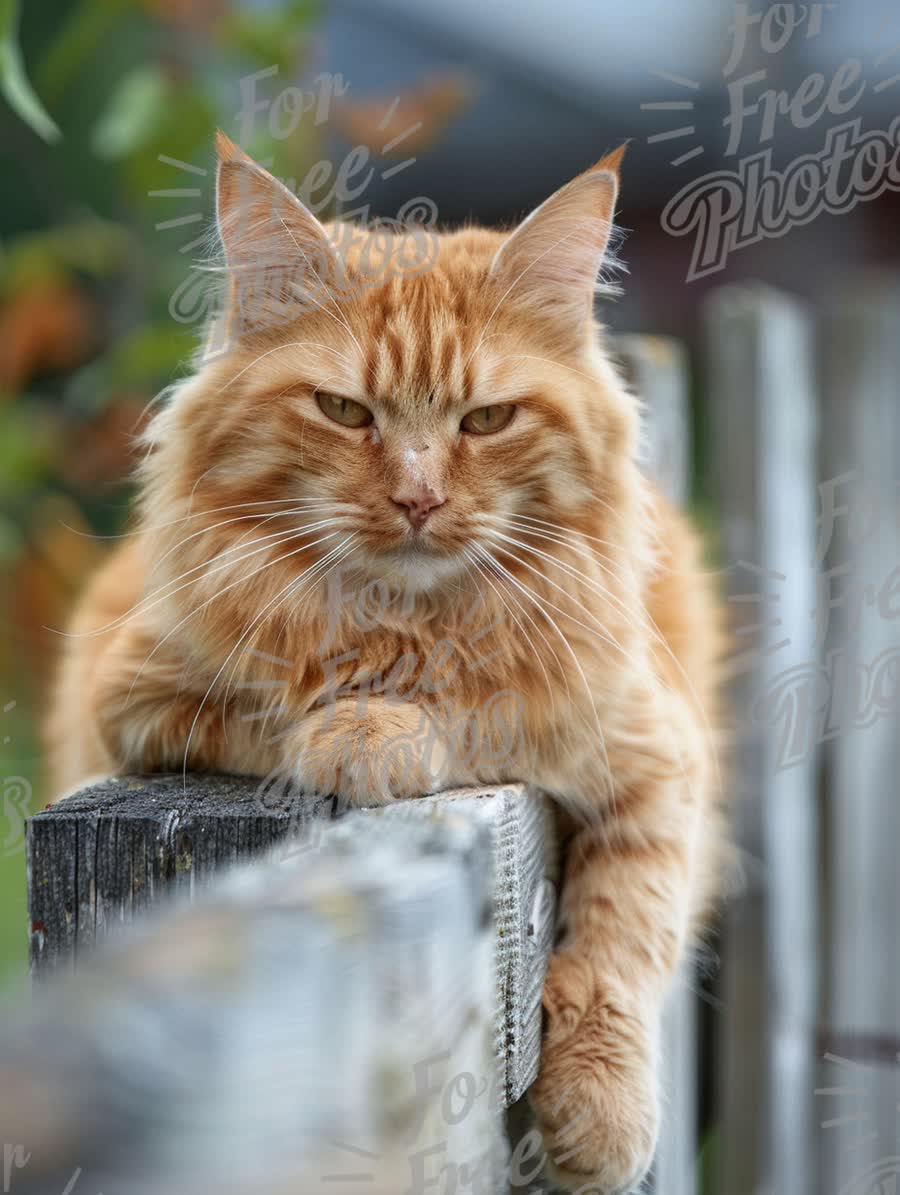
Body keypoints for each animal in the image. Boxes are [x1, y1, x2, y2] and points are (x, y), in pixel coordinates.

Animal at [47, 133, 721, 1195]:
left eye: (486, 421)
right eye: (342, 410)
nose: (417, 499)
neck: (408, 622)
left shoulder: (661, 758)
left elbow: (619, 936)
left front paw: (602, 1116)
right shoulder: (136, 698)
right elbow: (320, 701)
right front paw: (375, 731)